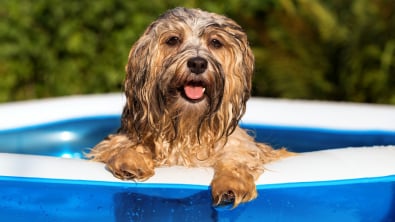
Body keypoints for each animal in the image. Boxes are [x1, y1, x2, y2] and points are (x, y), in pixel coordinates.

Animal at [87, 6, 290, 208]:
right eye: (173, 39)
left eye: (215, 42)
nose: (198, 63)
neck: (186, 127)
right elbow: (119, 146)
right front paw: (130, 161)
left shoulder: (239, 146)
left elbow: (237, 159)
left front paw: (231, 184)